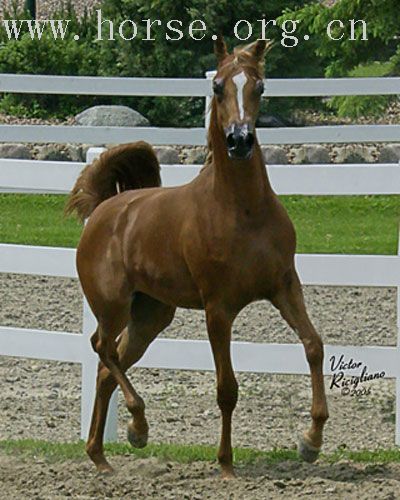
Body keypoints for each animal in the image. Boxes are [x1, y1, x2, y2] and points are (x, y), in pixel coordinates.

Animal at [65, 37, 328, 478]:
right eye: (218, 87)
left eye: (260, 87)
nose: (240, 141)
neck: (243, 212)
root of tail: (104, 209)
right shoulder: (218, 308)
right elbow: (227, 388)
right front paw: (225, 464)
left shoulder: (284, 286)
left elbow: (313, 345)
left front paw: (311, 441)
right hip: (113, 306)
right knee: (102, 348)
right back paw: (138, 427)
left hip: (151, 315)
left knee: (107, 366)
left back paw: (101, 456)